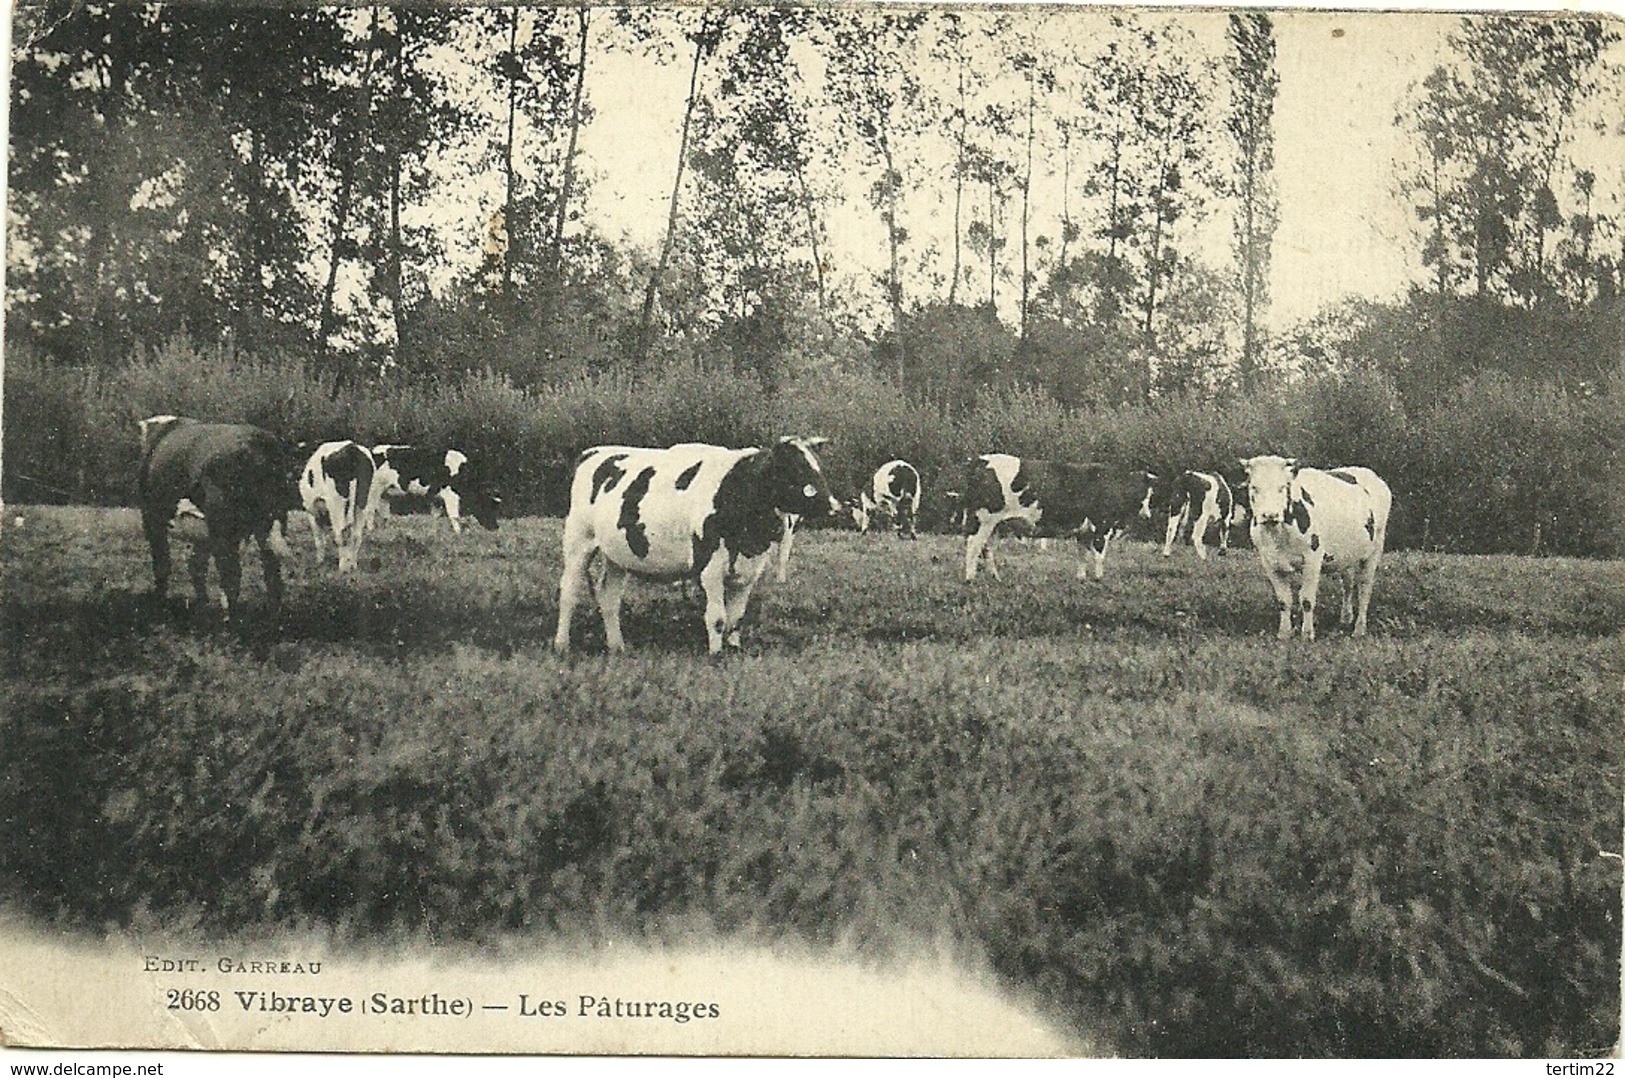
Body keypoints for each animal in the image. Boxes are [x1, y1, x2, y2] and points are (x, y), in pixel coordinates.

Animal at [136, 414, 302, 621]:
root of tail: (254, 442)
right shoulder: (202, 533)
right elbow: (196, 565)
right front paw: (202, 607)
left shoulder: (152, 518)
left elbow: (163, 564)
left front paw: (161, 606)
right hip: (272, 518)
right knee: (271, 569)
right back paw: (272, 615)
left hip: (223, 526)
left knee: (231, 573)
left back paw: (230, 618)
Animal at [297, 442, 375, 578]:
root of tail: (351, 447)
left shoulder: (311, 511)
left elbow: (319, 539)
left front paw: (320, 561)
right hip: (362, 501)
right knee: (356, 535)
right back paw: (353, 565)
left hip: (336, 503)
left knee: (341, 534)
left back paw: (343, 568)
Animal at [555, 435, 838, 653]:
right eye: (797, 469)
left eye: (819, 467)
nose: (834, 505)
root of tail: (593, 451)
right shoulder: (709, 567)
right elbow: (718, 618)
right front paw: (716, 654)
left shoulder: (749, 571)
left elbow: (736, 617)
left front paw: (733, 650)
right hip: (579, 539)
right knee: (569, 591)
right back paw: (562, 645)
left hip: (617, 555)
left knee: (609, 596)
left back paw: (617, 647)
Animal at [949, 458, 1157, 585]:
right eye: (1143, 492)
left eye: (1151, 493)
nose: (1147, 515)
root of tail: (980, 460)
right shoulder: (1102, 525)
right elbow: (1099, 554)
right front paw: (1099, 578)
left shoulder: (1084, 531)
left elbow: (1082, 555)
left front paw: (1081, 578)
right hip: (983, 520)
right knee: (973, 546)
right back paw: (970, 579)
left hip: (991, 524)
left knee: (986, 548)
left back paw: (995, 577)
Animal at [1235, 455, 1391, 640]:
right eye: (1254, 487)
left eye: (1282, 487)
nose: (1270, 515)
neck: (1278, 533)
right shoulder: (1269, 561)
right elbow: (1284, 600)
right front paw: (1284, 633)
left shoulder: (1312, 558)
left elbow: (1307, 599)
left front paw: (1307, 634)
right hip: (1348, 555)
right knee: (1347, 584)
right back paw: (1346, 618)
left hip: (1375, 549)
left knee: (1364, 589)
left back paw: (1359, 629)